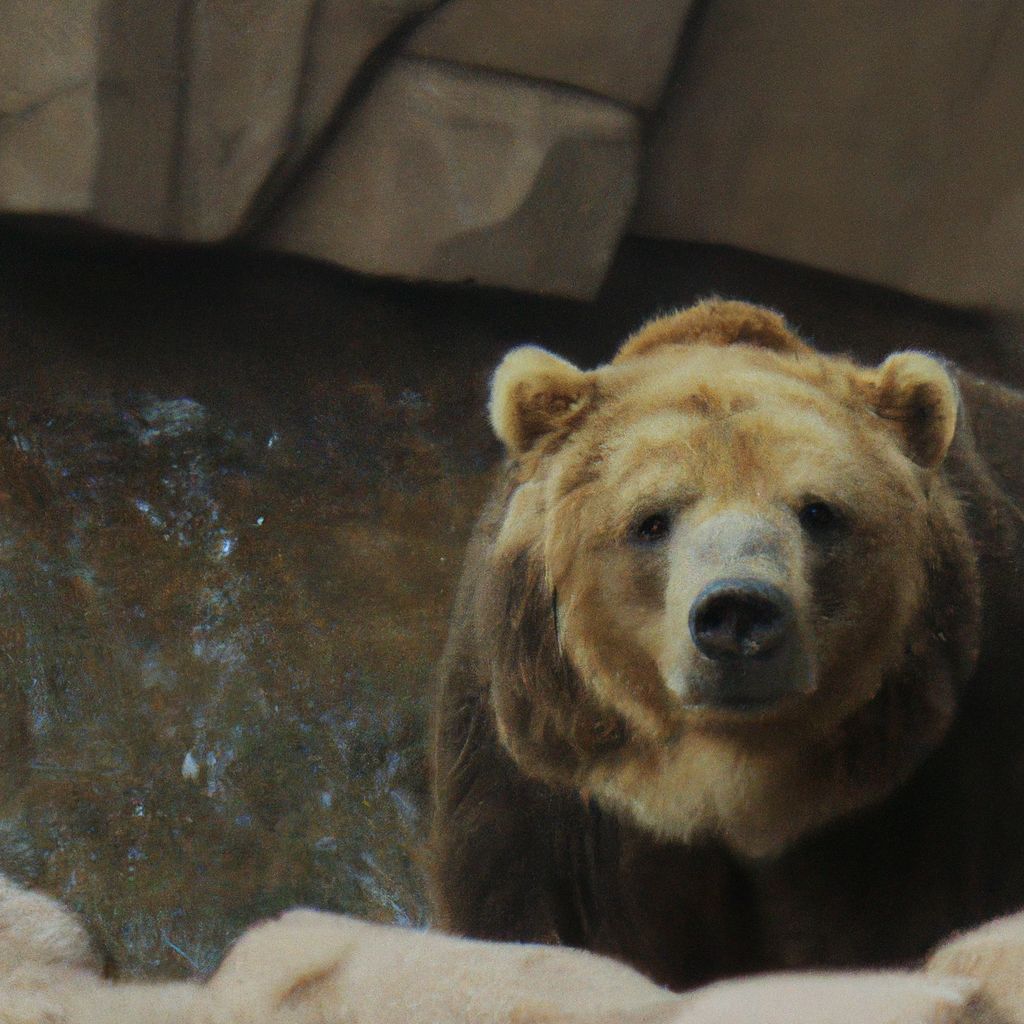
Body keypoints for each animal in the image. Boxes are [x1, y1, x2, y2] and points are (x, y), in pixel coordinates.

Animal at [430, 299, 1024, 991]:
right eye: (651, 520)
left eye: (819, 511)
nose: (738, 610)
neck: (725, 783)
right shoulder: (540, 777)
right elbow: (514, 901)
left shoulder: (925, 772)